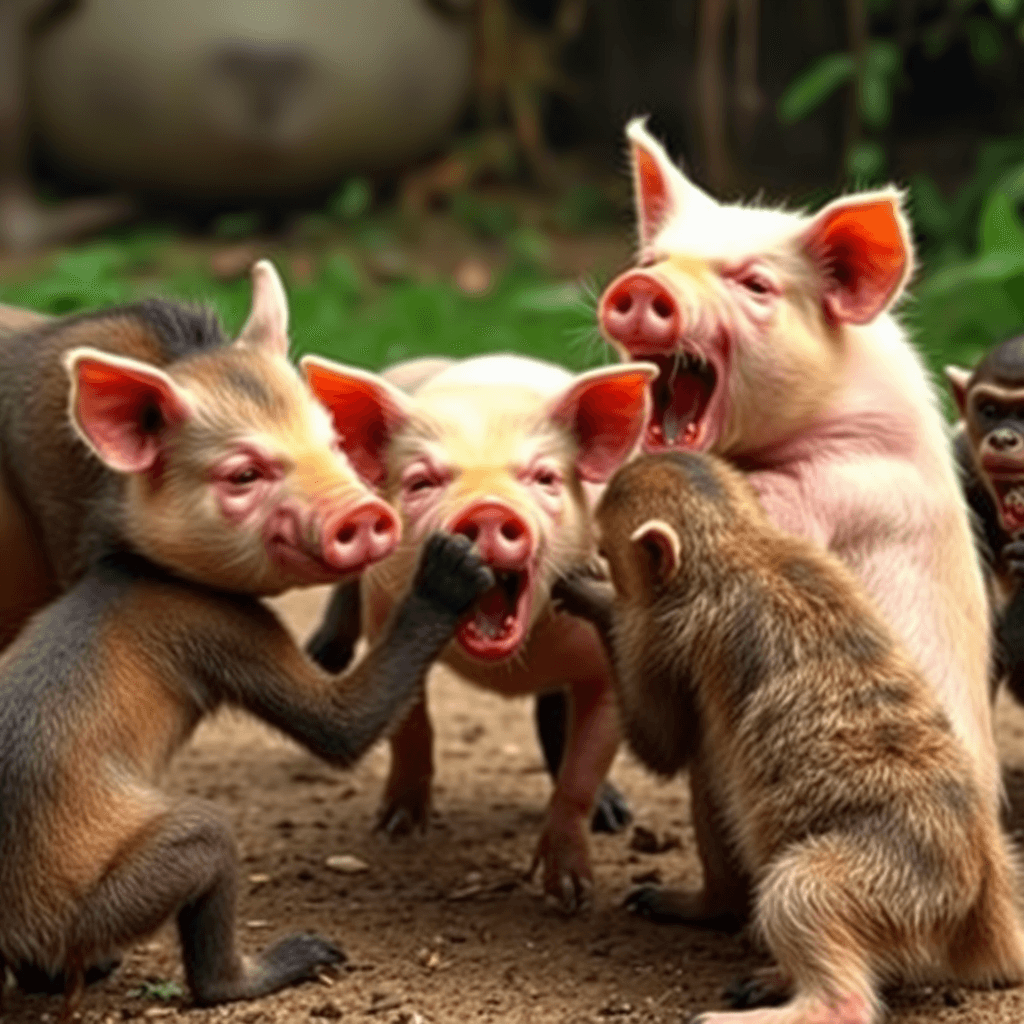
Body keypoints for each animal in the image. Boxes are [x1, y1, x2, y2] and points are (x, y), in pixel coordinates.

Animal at [0, 532, 491, 1019]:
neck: (137, 568)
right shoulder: (225, 618)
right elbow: (343, 727)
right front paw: (442, 587)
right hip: (87, 915)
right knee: (209, 841)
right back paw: (246, 979)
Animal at [557, 454, 1024, 1024]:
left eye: (608, 551)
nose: (598, 562)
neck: (742, 544)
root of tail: (985, 900)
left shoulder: (672, 632)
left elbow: (662, 741)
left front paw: (596, 600)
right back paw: (718, 910)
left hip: (902, 883)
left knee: (800, 893)